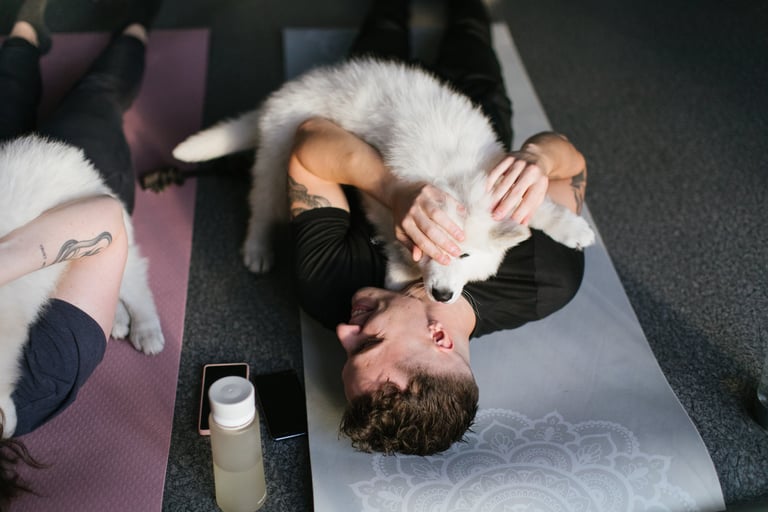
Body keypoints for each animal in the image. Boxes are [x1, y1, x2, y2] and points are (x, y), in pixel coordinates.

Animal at [0, 135, 164, 437]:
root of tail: (78, 160)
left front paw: (7, 420)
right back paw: (119, 322)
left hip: (106, 238)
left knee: (138, 285)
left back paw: (146, 331)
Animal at [173, 57, 595, 303]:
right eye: (425, 250)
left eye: (464, 255)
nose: (442, 295)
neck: (450, 176)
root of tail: (278, 96)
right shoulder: (387, 200)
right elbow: (391, 237)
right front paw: (400, 275)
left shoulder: (496, 176)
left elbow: (537, 204)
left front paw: (574, 229)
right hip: (277, 160)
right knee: (261, 205)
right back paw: (257, 249)